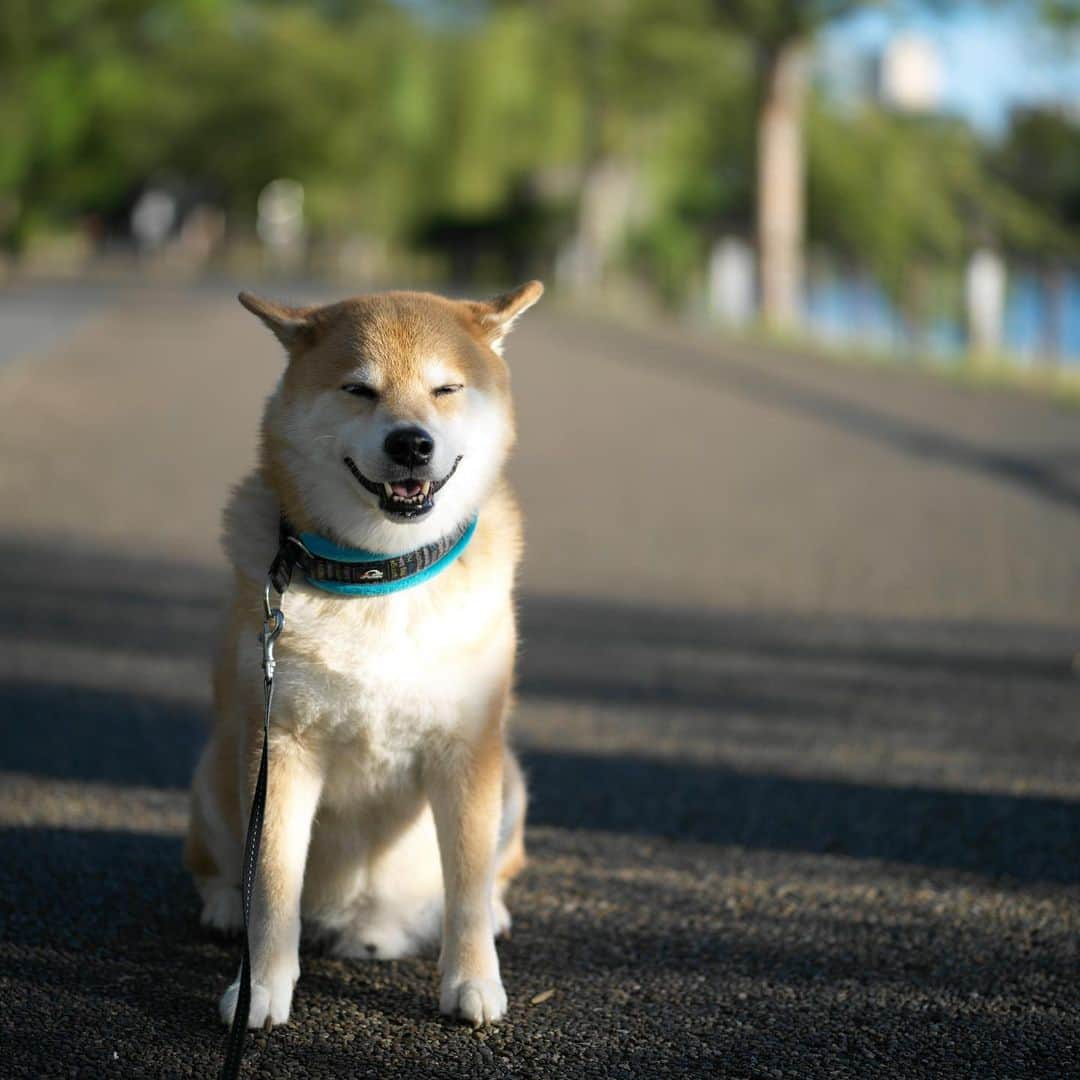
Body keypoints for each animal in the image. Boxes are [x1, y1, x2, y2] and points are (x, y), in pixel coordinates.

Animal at [184, 278, 544, 1028]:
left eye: (445, 388)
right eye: (359, 389)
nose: (410, 443)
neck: (382, 573)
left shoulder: (466, 748)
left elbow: (467, 887)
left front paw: (473, 981)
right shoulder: (281, 748)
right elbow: (272, 885)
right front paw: (260, 987)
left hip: (511, 779)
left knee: (495, 876)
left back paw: (498, 913)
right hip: (217, 767)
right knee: (218, 866)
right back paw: (223, 905)